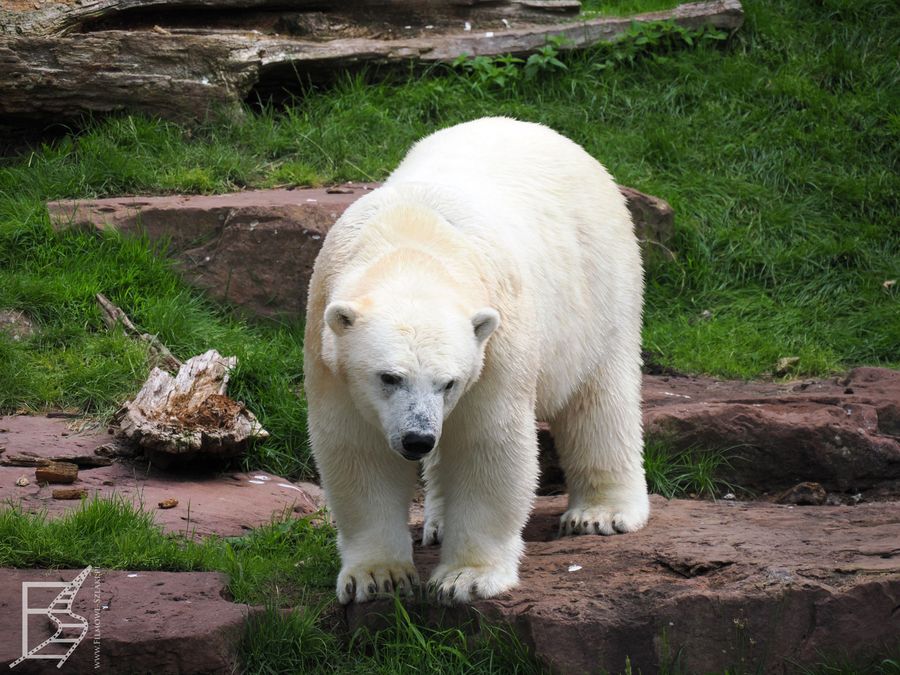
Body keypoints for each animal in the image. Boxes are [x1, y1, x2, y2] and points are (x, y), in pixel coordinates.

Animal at [302, 117, 648, 608]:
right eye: (389, 377)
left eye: (449, 382)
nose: (417, 439)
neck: (411, 241)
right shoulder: (328, 345)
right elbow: (358, 450)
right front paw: (377, 576)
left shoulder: (497, 340)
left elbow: (488, 442)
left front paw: (465, 578)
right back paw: (439, 520)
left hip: (600, 284)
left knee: (599, 395)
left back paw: (601, 513)